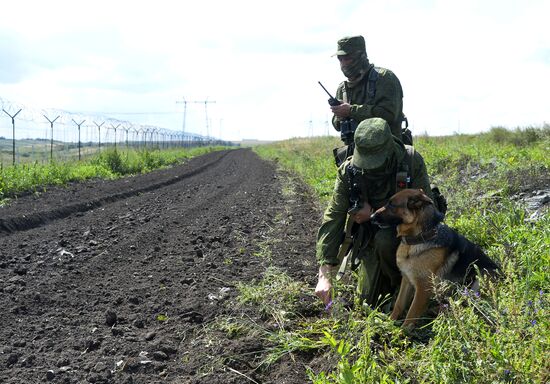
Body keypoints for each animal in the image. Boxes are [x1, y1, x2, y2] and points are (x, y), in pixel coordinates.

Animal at [370, 189, 500, 328]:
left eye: (392, 204)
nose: (371, 217)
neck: (418, 239)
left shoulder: (423, 288)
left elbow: (411, 314)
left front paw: (402, 332)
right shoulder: (406, 280)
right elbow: (399, 305)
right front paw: (388, 324)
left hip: (480, 278)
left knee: (467, 303)